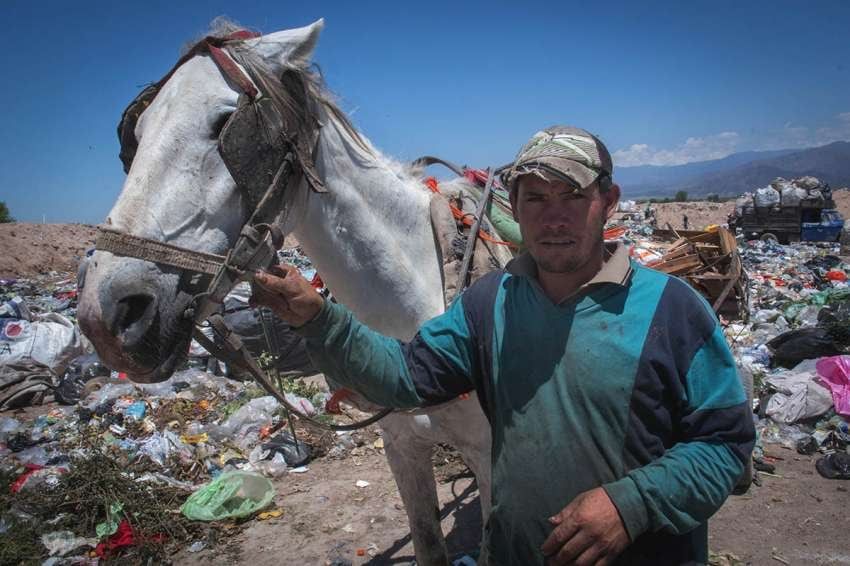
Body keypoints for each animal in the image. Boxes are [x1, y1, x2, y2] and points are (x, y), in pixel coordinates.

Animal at [77, 19, 510, 565]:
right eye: (134, 137)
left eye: (226, 125)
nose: (106, 317)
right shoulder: (401, 446)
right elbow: (427, 541)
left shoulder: (492, 461)